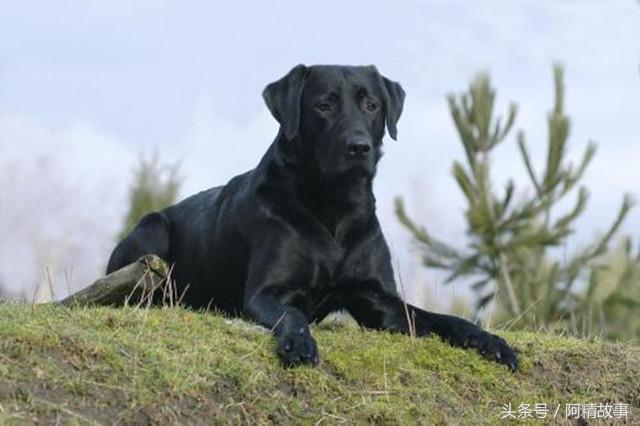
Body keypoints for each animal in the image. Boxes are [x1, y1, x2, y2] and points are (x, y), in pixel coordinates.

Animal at [109, 63, 520, 370]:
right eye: (324, 105)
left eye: (371, 104)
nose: (359, 147)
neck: (335, 207)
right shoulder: (266, 293)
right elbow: (292, 315)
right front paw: (298, 342)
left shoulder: (377, 299)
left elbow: (440, 319)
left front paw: (490, 341)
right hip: (152, 227)